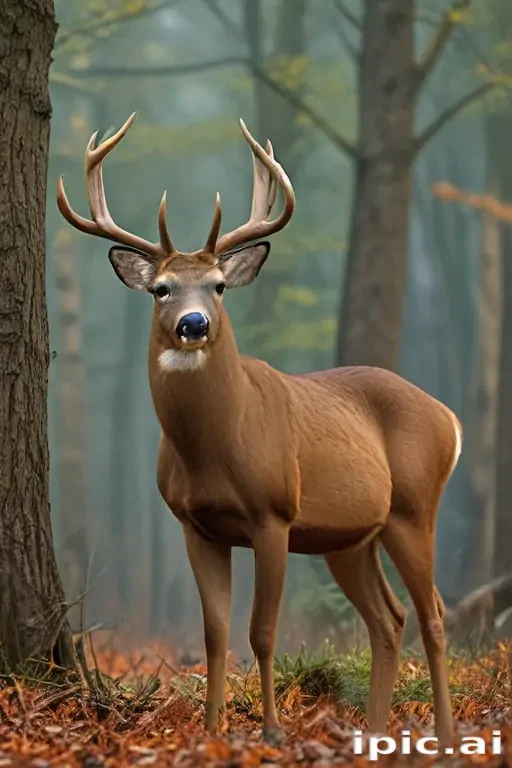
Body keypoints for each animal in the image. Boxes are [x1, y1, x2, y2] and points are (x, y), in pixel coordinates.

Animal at [57, 112, 462, 747]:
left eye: (219, 285)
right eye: (161, 289)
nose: (194, 324)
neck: (214, 447)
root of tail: (449, 416)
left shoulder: (274, 513)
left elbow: (261, 631)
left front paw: (270, 730)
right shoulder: (195, 524)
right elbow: (216, 633)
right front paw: (211, 730)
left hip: (414, 508)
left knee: (434, 614)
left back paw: (442, 736)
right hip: (350, 537)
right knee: (389, 619)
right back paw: (374, 731)